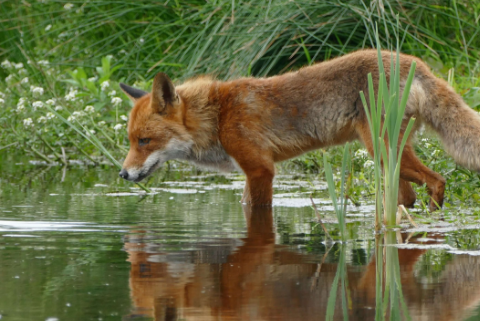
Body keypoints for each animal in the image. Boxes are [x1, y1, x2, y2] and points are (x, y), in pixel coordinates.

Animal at [118, 49, 480, 210]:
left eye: (145, 141)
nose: (122, 174)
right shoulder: (253, 172)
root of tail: (415, 62)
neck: (218, 116)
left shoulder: (261, 170)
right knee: (408, 196)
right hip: (388, 158)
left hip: (383, 149)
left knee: (437, 181)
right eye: (131, 141)